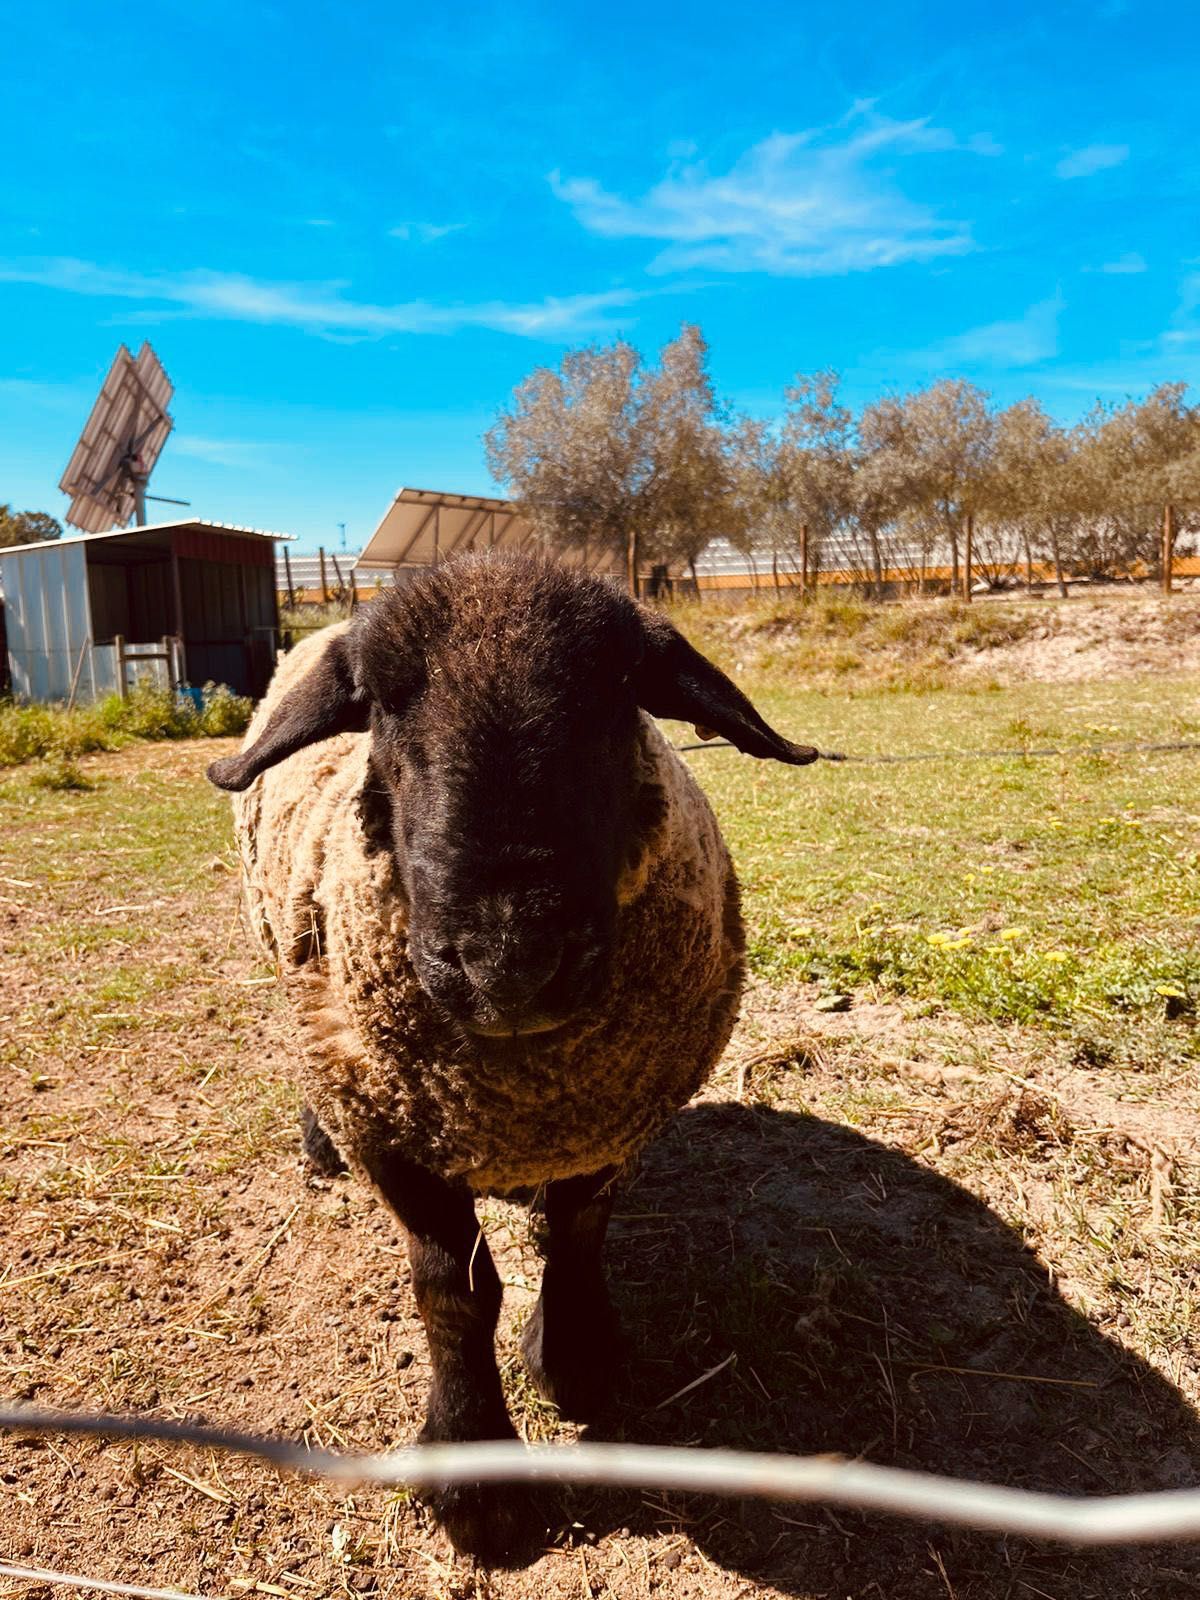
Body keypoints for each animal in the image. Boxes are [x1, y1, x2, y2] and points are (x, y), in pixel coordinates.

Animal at [209, 553, 819, 1561]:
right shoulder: (392, 1130)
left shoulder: (610, 1112)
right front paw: (475, 1477)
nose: (509, 962)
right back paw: (316, 1147)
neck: (525, 1085)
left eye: (620, 687)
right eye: (378, 701)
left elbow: (576, 1238)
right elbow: (453, 1291)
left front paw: (574, 1360)